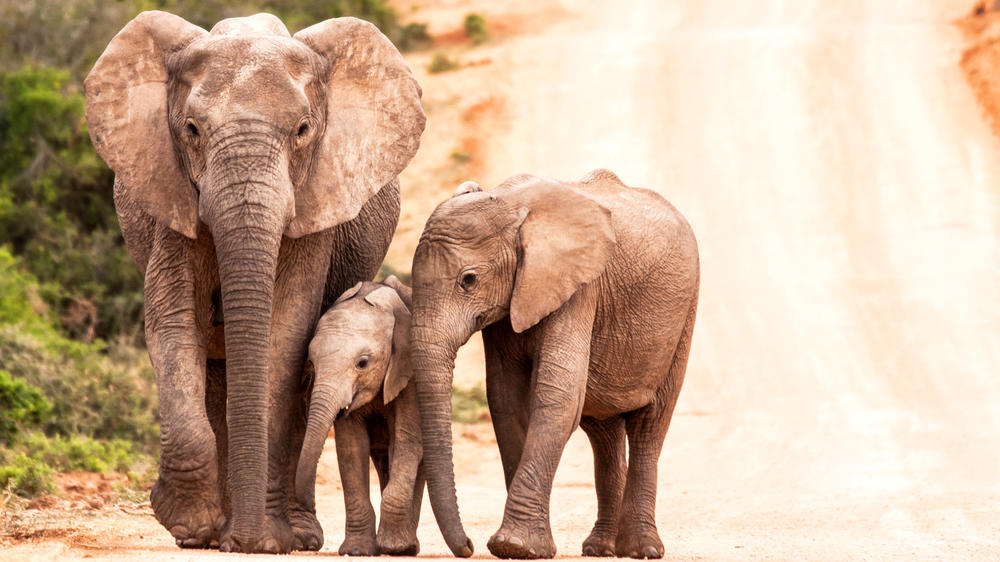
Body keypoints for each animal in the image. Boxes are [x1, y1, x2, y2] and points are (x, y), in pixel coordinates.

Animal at [294, 276, 424, 556]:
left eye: (362, 363)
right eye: (312, 363)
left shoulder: (410, 372)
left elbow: (406, 439)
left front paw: (394, 547)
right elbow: (351, 448)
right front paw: (356, 551)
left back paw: (407, 546)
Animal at [409, 170, 699, 559]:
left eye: (468, 280)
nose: (467, 546)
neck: (509, 204)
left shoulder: (579, 289)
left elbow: (557, 396)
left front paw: (514, 546)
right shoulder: (511, 303)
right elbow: (505, 399)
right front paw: (520, 546)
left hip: (683, 317)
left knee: (650, 426)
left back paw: (643, 550)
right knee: (604, 433)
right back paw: (599, 548)